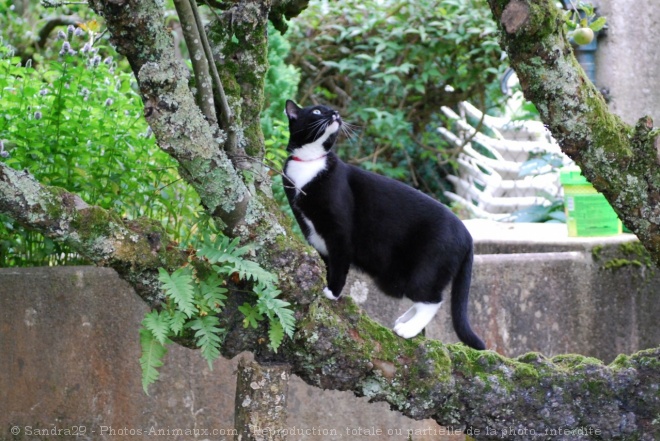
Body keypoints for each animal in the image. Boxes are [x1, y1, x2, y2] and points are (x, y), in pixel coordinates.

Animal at [282, 100, 484, 350]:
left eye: (329, 109)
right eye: (317, 111)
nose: (336, 113)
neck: (310, 164)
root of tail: (468, 235)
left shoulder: (339, 232)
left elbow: (339, 262)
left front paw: (332, 292)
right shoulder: (312, 231)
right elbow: (327, 261)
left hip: (428, 267)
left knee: (432, 299)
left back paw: (408, 328)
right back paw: (405, 319)